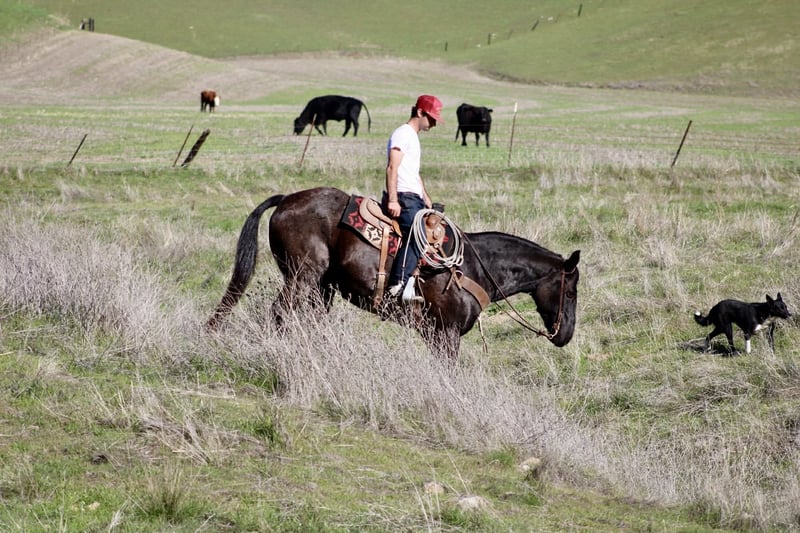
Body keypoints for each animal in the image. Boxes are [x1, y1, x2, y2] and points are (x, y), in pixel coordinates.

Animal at [206, 187, 580, 361]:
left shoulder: (435, 336)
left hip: (322, 288)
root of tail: (287, 199)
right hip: (302, 276)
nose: (565, 336)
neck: (472, 267)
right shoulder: (446, 335)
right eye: (571, 291)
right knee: (281, 313)